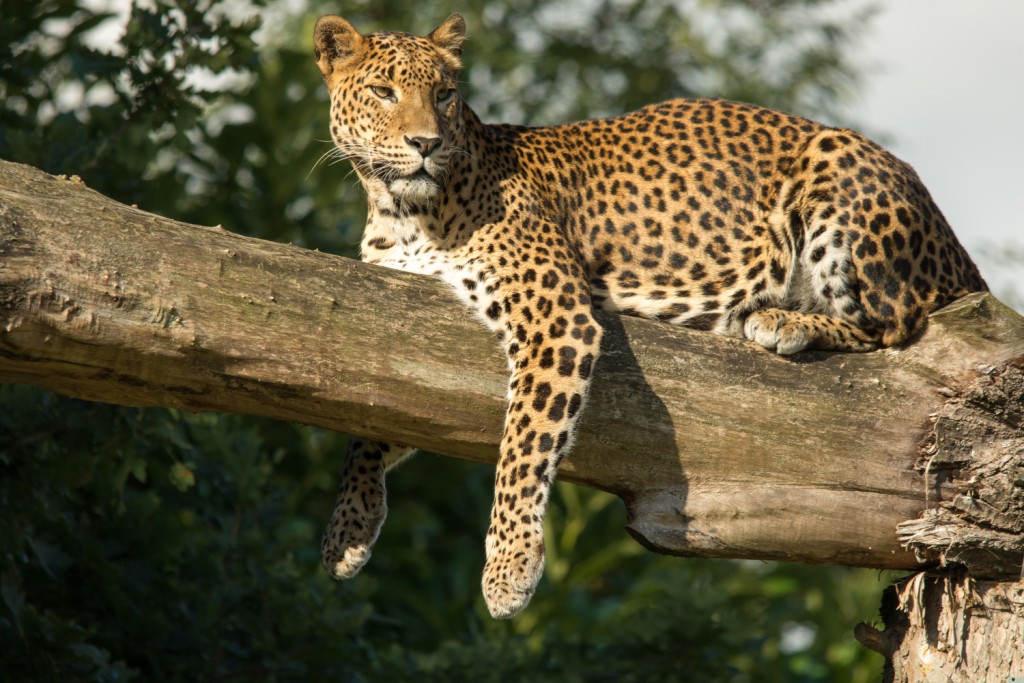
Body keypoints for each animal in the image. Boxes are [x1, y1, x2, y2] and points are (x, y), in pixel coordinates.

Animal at [309, 12, 983, 618]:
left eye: (444, 96)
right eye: (382, 92)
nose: (425, 143)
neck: (400, 212)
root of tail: (956, 249)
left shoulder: (557, 315)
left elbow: (524, 442)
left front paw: (509, 569)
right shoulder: (401, 319)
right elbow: (372, 420)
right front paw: (348, 529)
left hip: (840, 174)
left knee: (895, 322)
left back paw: (781, 319)